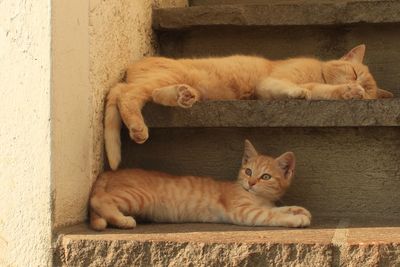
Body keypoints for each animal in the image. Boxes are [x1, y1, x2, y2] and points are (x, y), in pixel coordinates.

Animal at [89, 141, 310, 231]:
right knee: (97, 199)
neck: (257, 197)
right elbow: (271, 215)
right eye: (248, 171)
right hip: (139, 196)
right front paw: (295, 218)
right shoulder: (244, 211)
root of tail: (110, 172)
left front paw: (299, 210)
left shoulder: (262, 204)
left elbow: (276, 209)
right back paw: (123, 220)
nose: (251, 182)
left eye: (265, 176)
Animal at [104, 43, 394, 170]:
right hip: (163, 77)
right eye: (354, 72)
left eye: (368, 90)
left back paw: (183, 96)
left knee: (151, 93)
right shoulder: (271, 83)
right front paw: (304, 91)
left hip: (171, 82)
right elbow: (303, 88)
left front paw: (349, 94)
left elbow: (320, 91)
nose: (358, 86)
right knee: (127, 95)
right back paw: (139, 128)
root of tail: (129, 69)